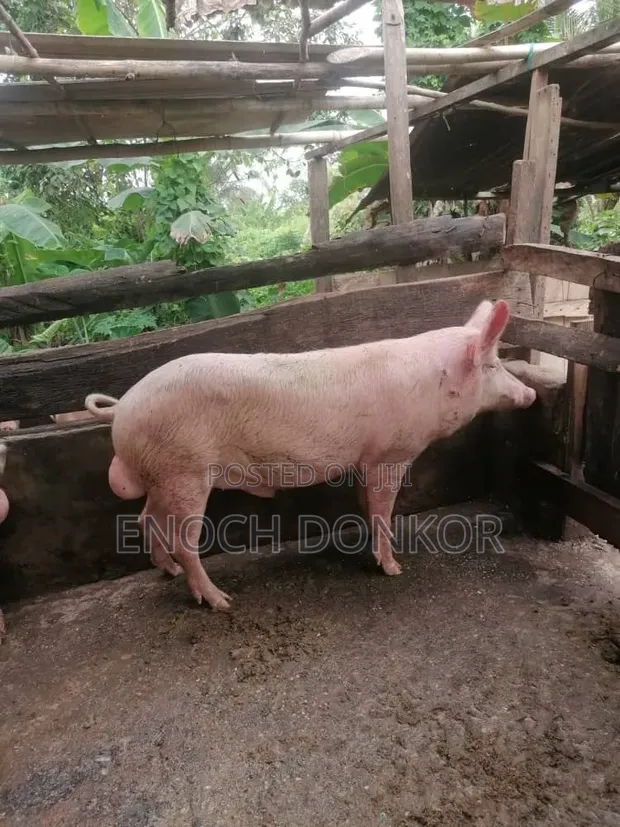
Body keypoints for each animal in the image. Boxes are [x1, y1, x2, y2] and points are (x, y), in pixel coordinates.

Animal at [84, 299, 536, 611]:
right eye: (493, 366)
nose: (531, 394)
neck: (434, 383)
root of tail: (121, 407)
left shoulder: (365, 459)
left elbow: (367, 505)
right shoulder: (390, 453)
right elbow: (384, 509)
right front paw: (394, 568)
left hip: (163, 476)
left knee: (146, 519)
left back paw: (170, 571)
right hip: (185, 472)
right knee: (183, 540)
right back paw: (220, 601)